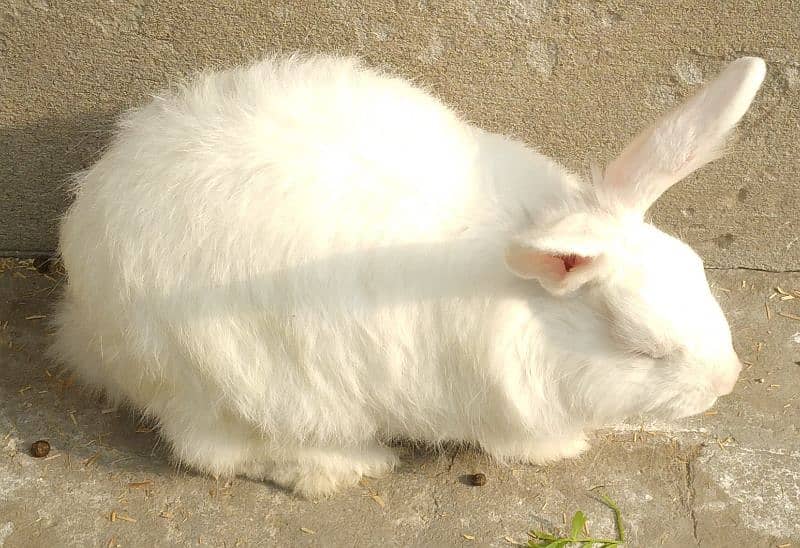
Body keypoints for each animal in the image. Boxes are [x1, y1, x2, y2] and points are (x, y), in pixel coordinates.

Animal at [53, 54, 764, 496]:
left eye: (700, 275)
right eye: (643, 348)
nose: (728, 382)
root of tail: (86, 319)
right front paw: (560, 448)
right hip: (228, 376)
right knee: (213, 450)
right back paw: (345, 467)